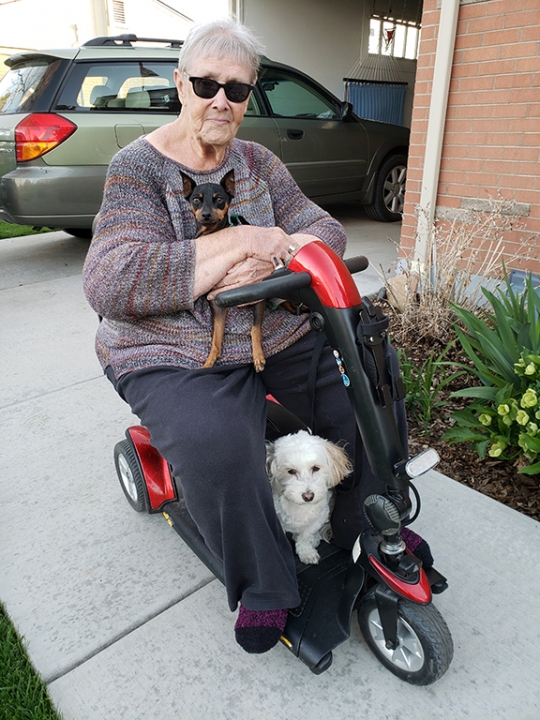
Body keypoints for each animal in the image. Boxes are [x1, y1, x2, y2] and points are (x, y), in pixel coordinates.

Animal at [180, 169, 266, 372]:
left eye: (219, 199)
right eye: (196, 200)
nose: (206, 214)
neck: (211, 234)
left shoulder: (259, 297)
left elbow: (255, 329)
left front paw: (258, 356)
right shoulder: (217, 305)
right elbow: (216, 339)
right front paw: (210, 361)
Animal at [266, 430, 354, 564]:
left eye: (316, 468)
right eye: (290, 471)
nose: (308, 496)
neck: (300, 507)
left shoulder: (319, 517)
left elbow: (305, 536)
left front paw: (306, 552)